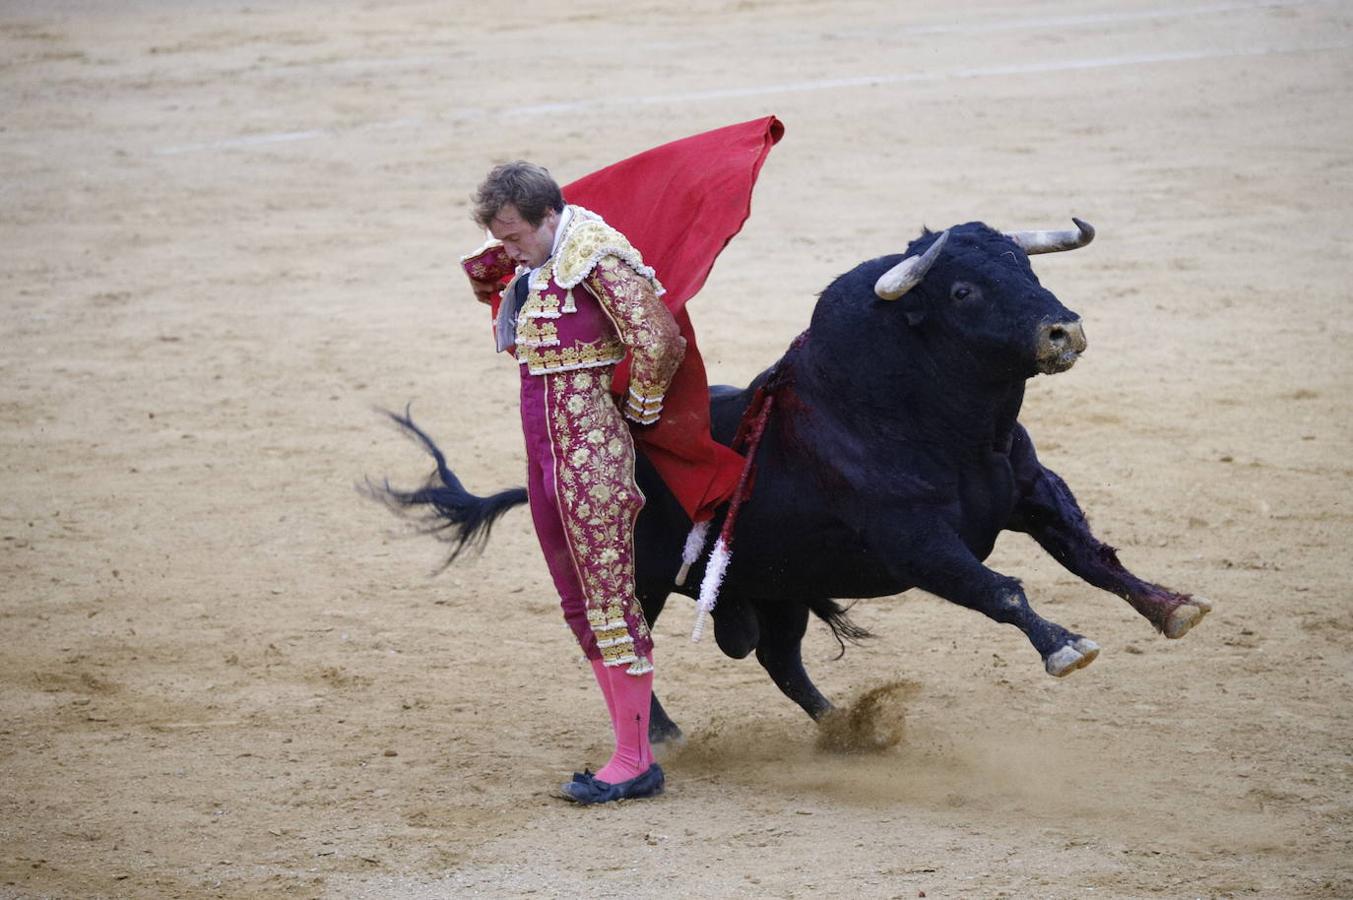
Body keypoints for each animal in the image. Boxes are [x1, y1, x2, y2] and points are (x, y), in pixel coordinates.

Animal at [376, 219, 1212, 741]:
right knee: (619, 641)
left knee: (780, 661)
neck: (944, 425)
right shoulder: (916, 541)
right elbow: (1000, 589)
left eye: (1026, 266)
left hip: (778, 587)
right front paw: (1065, 646)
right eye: (962, 291)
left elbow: (1089, 555)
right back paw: (664, 734)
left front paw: (1171, 608)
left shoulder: (1032, 490)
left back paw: (846, 728)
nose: (1063, 329)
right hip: (636, 574)